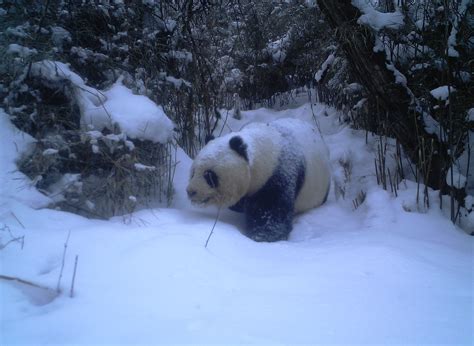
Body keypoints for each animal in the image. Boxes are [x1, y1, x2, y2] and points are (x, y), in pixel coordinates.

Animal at [185, 117, 330, 242]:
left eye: (209, 175)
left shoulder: (280, 173)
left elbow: (271, 210)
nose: (191, 191)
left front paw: (262, 236)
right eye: (193, 173)